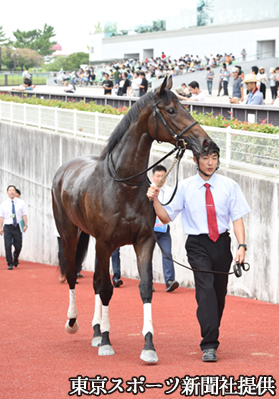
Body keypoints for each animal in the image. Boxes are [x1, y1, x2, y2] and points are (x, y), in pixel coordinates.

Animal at [52, 76, 217, 366]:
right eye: (171, 110)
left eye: (184, 105)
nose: (207, 143)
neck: (124, 184)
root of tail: (63, 170)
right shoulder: (105, 243)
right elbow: (107, 289)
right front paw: (107, 342)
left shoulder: (143, 241)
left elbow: (145, 288)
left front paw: (148, 346)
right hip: (70, 233)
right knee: (73, 273)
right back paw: (74, 323)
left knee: (95, 281)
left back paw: (97, 331)